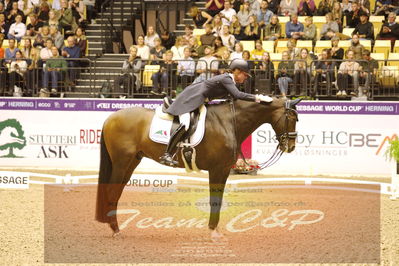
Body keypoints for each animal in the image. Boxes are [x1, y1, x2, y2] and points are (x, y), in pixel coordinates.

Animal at [95, 98, 300, 239]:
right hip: (121, 162)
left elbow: (217, 200)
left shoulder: (223, 170)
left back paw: (114, 226)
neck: (228, 121)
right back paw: (115, 230)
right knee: (112, 192)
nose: (290, 146)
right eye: (291, 117)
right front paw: (213, 232)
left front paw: (214, 229)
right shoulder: (218, 169)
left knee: (116, 193)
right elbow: (215, 201)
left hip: (132, 162)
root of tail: (111, 117)